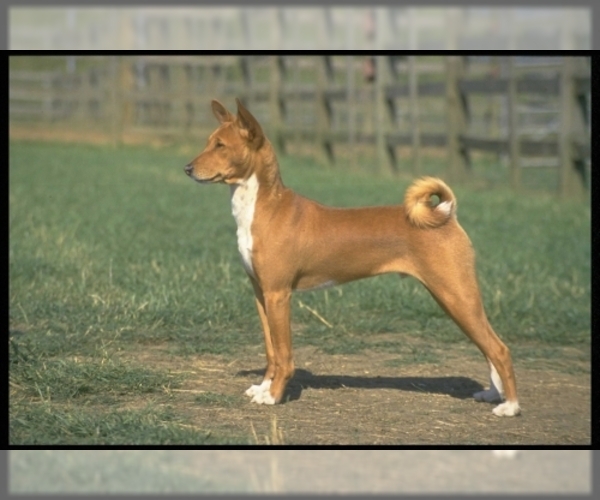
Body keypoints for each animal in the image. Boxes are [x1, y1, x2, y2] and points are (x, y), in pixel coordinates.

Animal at [184, 98, 520, 418]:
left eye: (220, 145)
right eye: (209, 141)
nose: (187, 169)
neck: (264, 208)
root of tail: (445, 215)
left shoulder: (279, 294)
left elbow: (284, 354)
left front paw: (274, 395)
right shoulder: (261, 292)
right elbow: (271, 351)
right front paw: (263, 388)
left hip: (456, 294)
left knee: (499, 349)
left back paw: (510, 406)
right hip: (451, 298)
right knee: (488, 347)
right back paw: (493, 394)